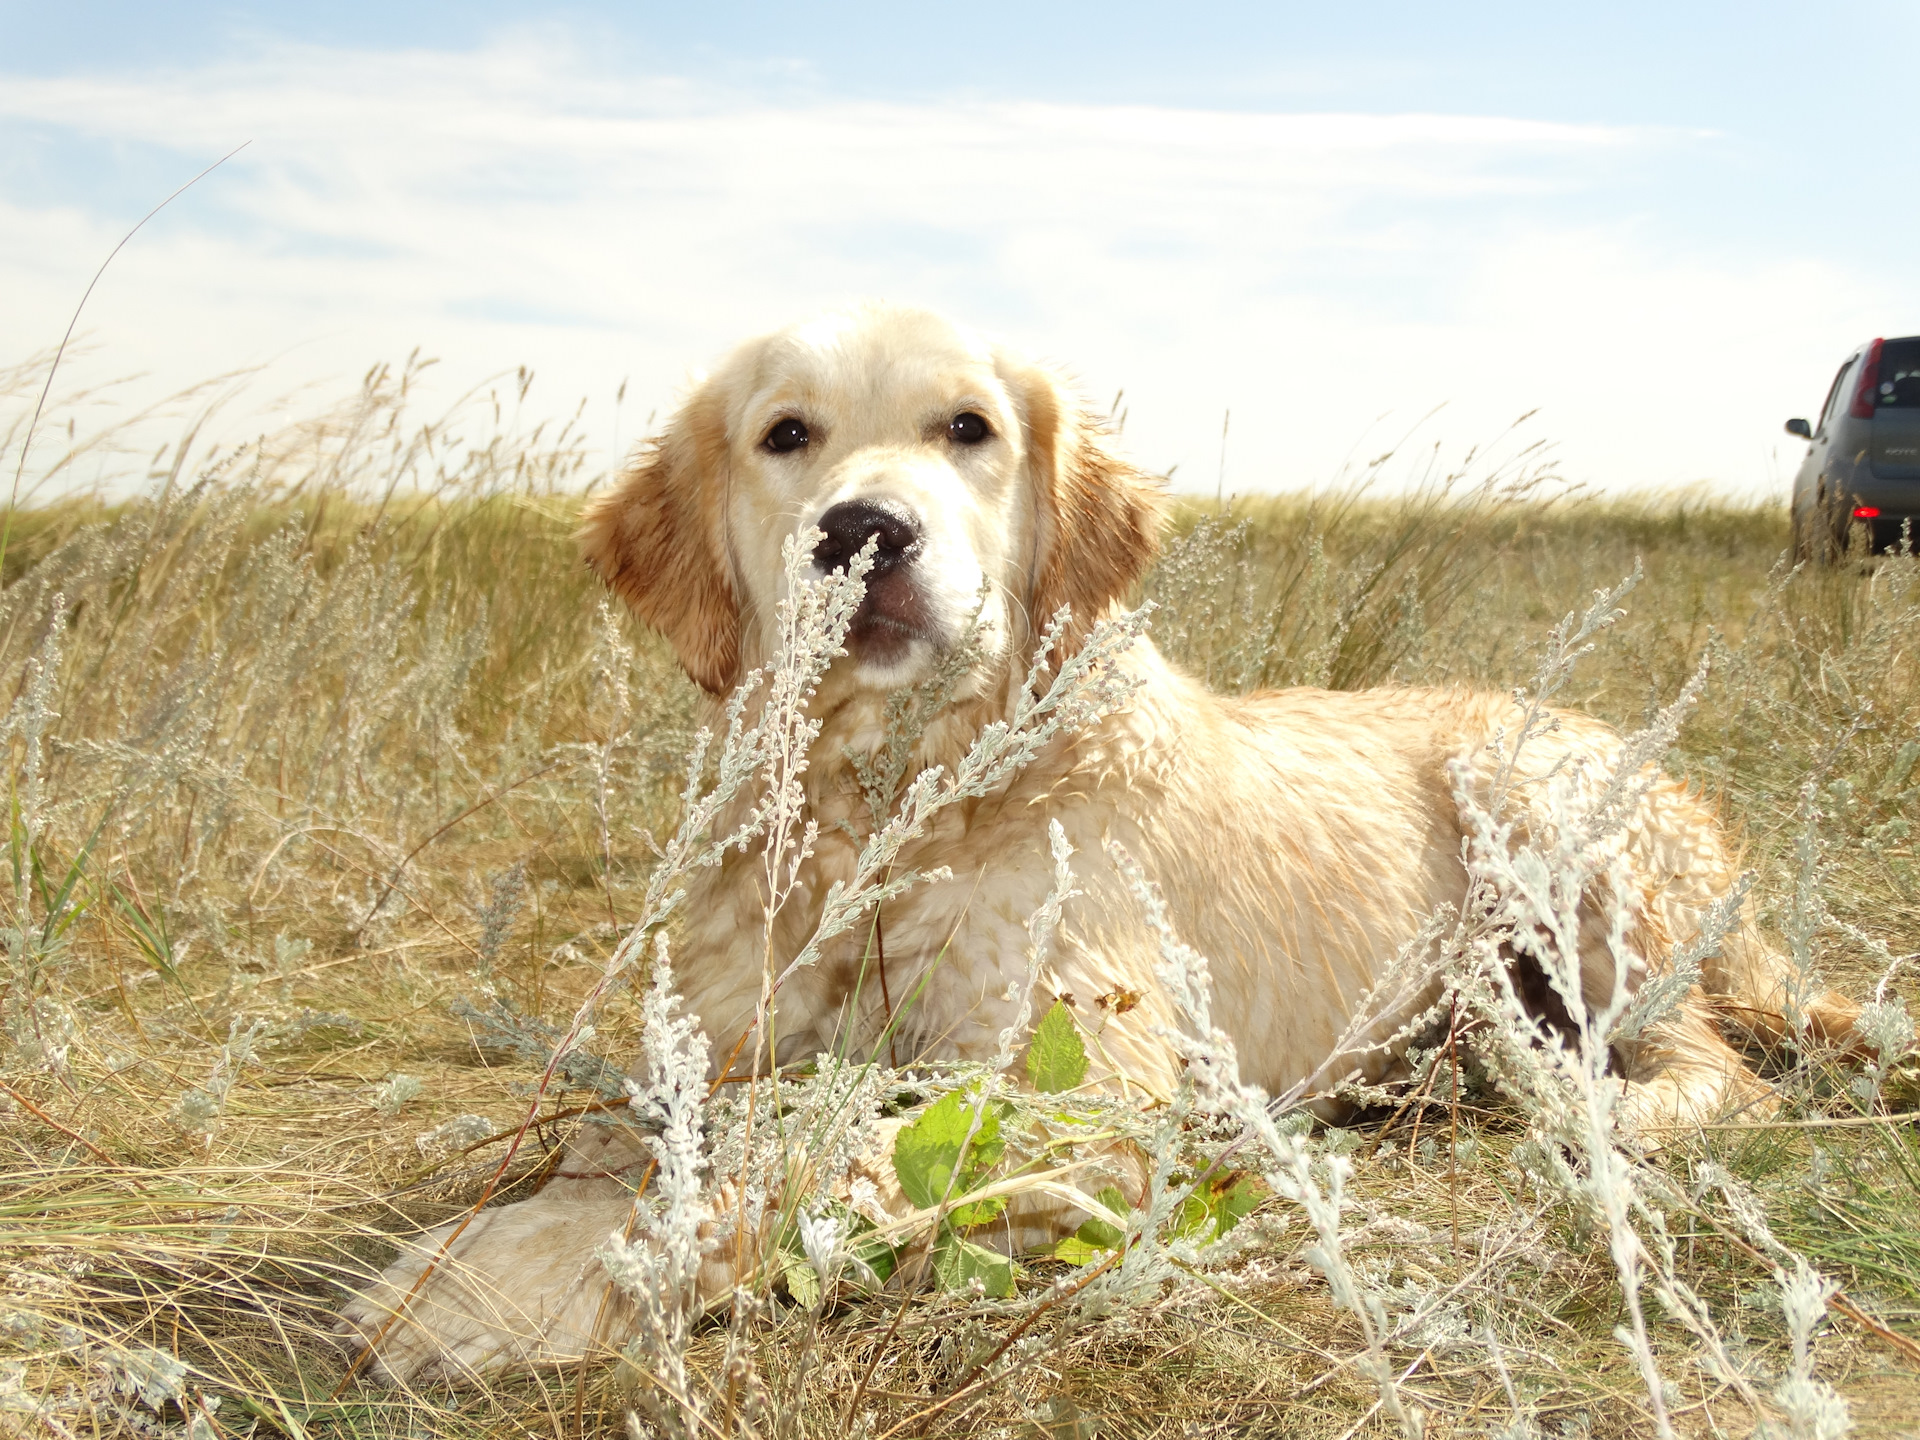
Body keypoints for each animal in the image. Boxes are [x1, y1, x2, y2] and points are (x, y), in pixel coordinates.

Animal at [337, 305, 1866, 1390]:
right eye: (786, 435)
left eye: (967, 427)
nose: (862, 530)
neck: (897, 803)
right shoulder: (718, 1037)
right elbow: (626, 1140)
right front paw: (511, 1234)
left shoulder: (1085, 1091)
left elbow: (809, 1156)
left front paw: (500, 1290)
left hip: (1540, 809)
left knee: (1719, 1072)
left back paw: (1575, 1110)